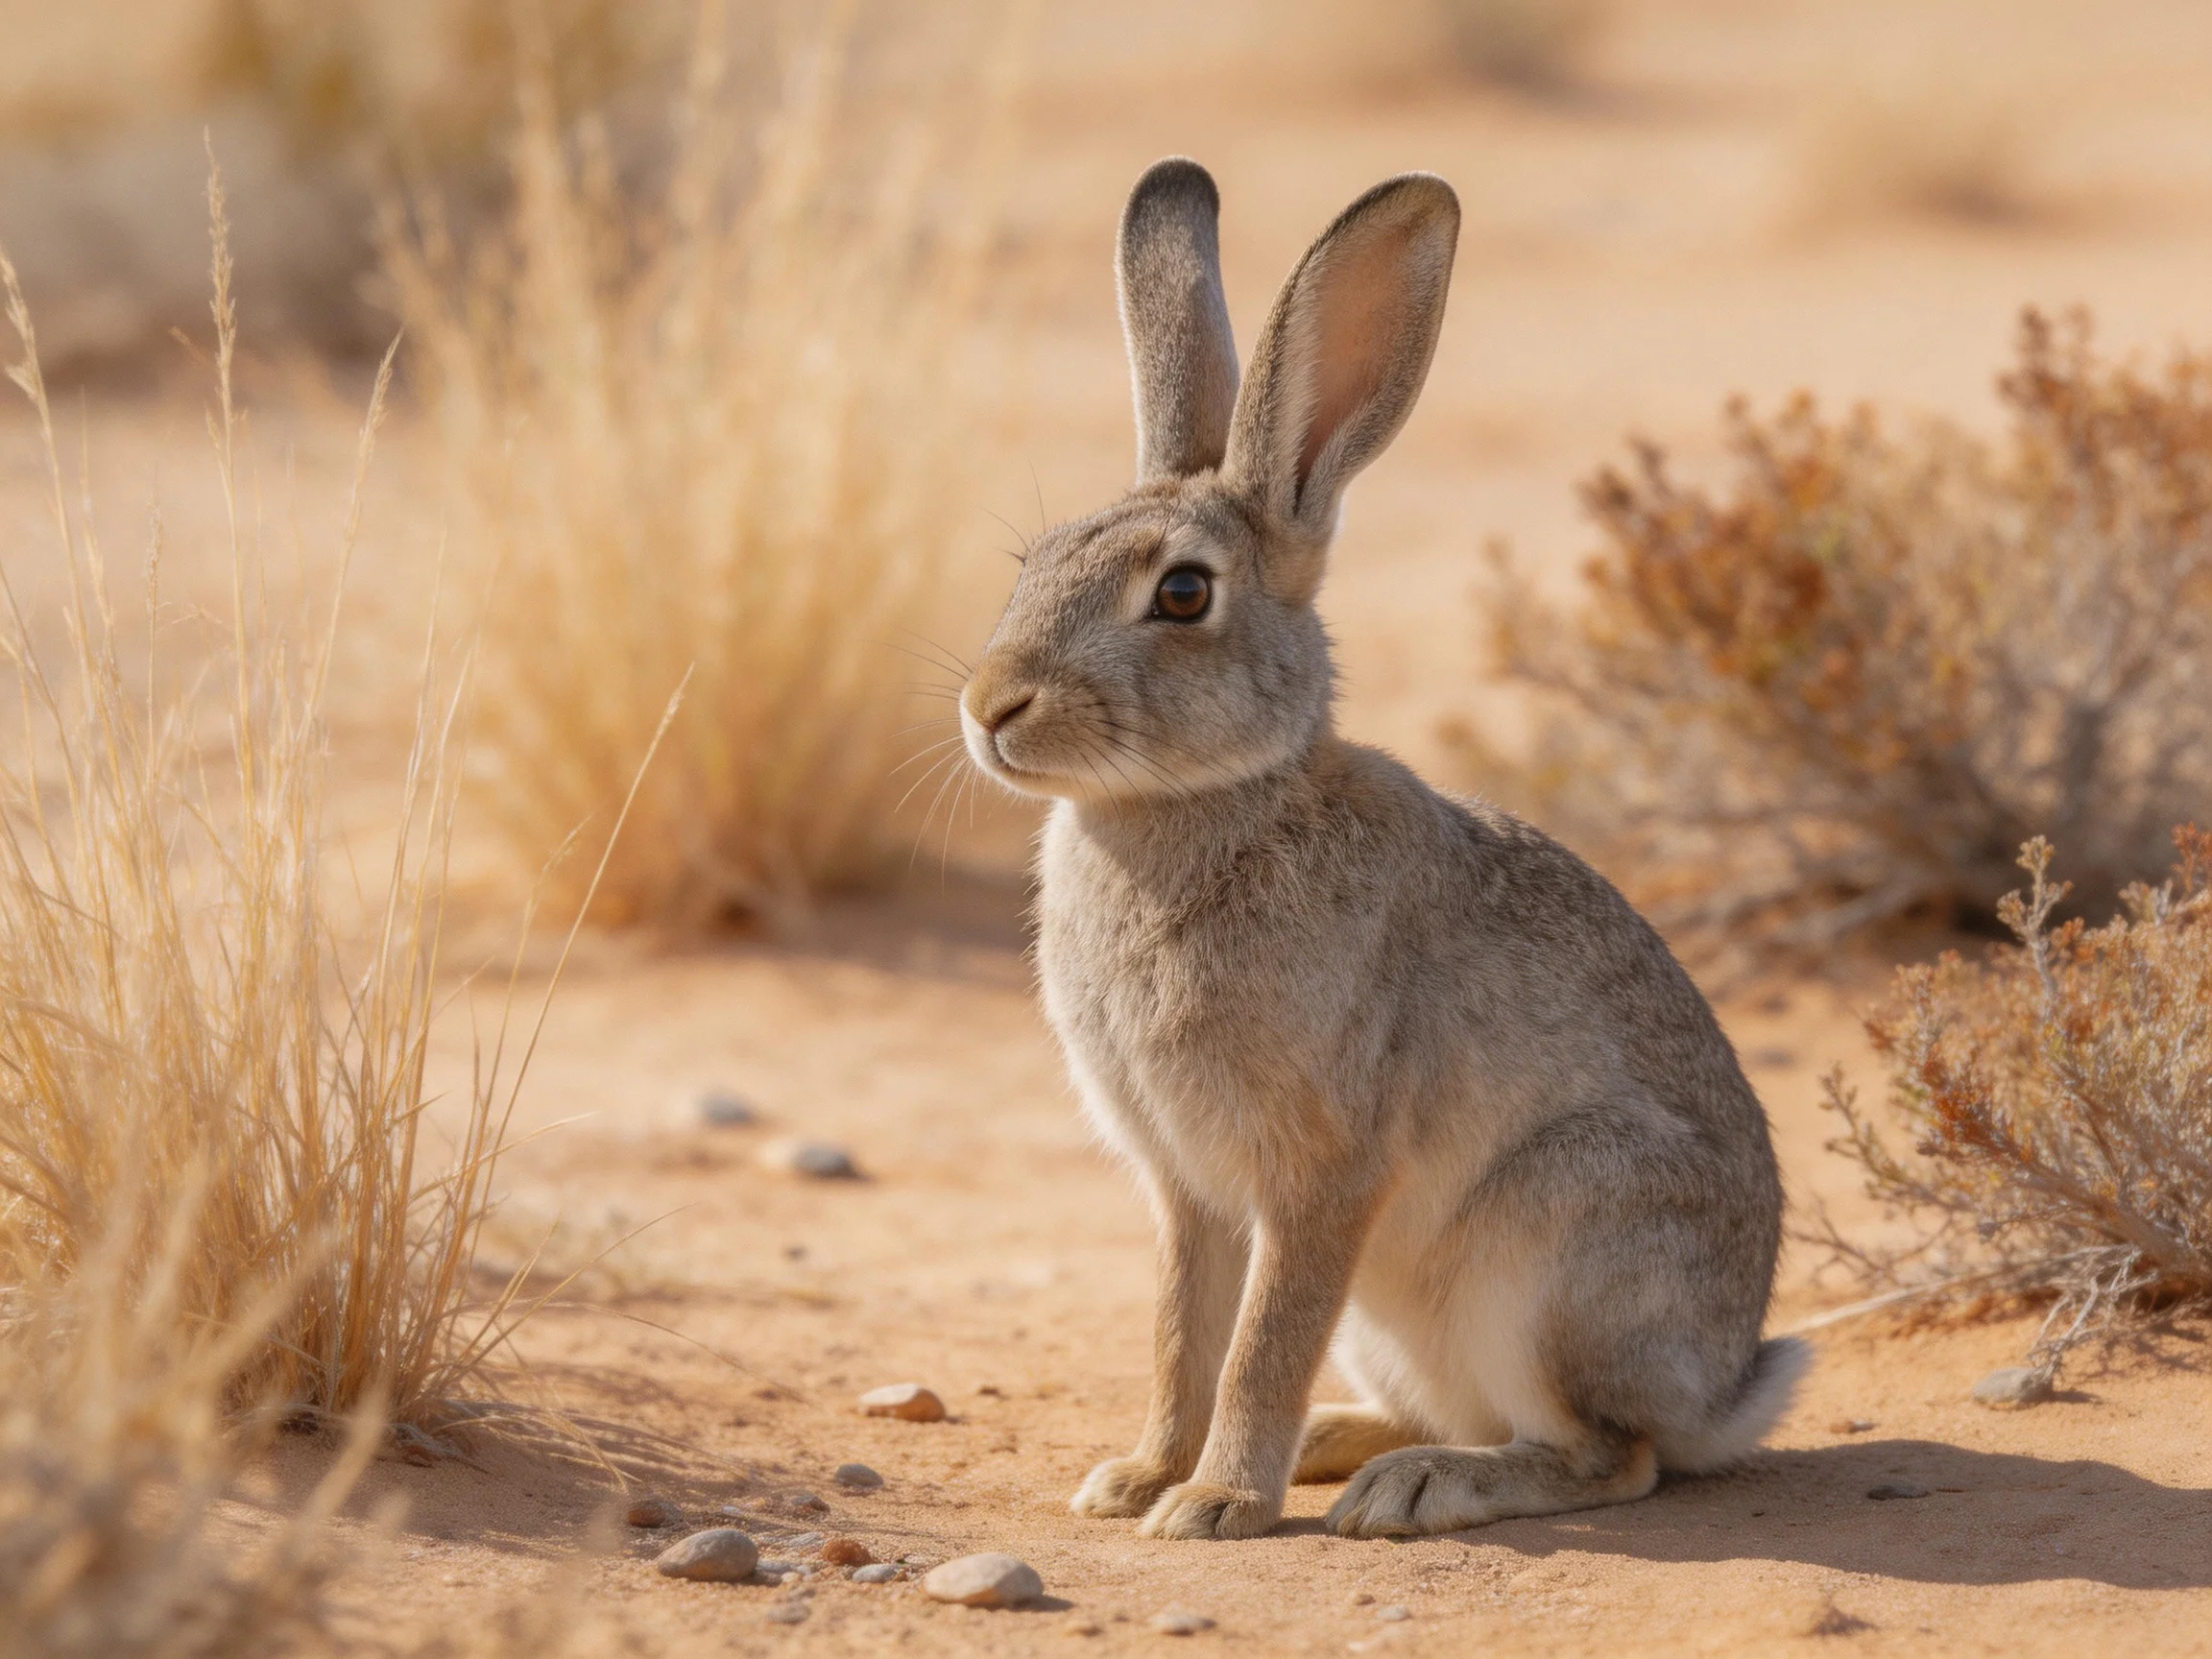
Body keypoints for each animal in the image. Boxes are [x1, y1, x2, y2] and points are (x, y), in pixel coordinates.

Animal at [957, 157, 1803, 1542]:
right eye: (1032, 562)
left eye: (1182, 594)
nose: (990, 708)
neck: (1204, 806)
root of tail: (1726, 1386)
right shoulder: (1186, 1191)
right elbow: (1181, 1334)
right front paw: (1137, 1477)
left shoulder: (1325, 1172)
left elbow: (1260, 1340)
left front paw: (1212, 1505)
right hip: (1404, 1318)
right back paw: (1343, 1446)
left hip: (1547, 1251)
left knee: (1609, 1455)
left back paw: (1418, 1488)